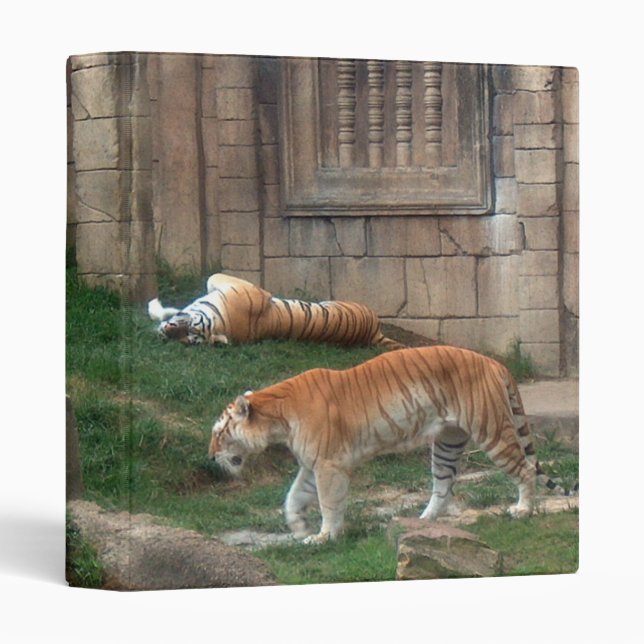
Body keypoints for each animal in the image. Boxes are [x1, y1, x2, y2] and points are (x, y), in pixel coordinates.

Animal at [148, 272, 403, 350]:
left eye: (191, 333)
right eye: (184, 341)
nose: (165, 334)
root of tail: (374, 332)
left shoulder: (239, 285)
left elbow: (209, 279)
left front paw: (154, 303)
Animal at [208, 345, 566, 544]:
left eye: (220, 432)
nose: (210, 457)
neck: (278, 418)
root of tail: (494, 363)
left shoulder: (329, 465)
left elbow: (328, 503)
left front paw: (324, 537)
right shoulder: (313, 465)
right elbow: (293, 497)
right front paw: (298, 527)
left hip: (492, 431)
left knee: (525, 469)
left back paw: (522, 510)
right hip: (447, 443)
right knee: (443, 485)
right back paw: (422, 522)